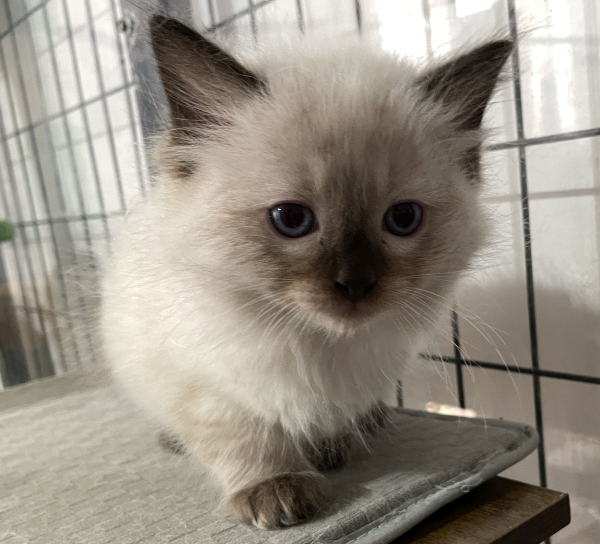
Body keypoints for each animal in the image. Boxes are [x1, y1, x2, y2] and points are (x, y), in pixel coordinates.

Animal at [101, 13, 512, 532]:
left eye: (402, 220)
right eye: (291, 219)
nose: (356, 284)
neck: (315, 344)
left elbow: (331, 417)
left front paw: (330, 446)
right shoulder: (202, 381)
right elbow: (245, 435)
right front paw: (278, 490)